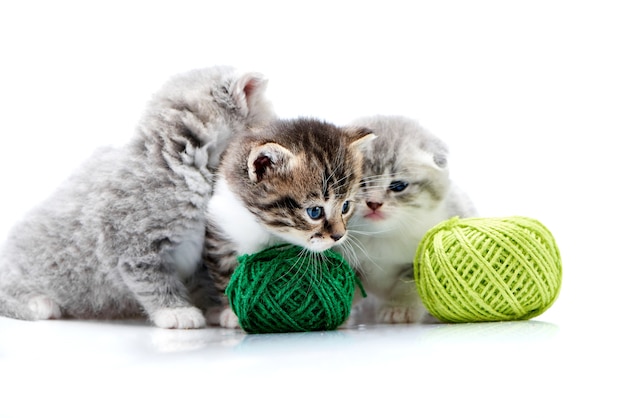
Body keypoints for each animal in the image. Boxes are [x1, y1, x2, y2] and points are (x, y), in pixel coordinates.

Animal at [0, 65, 276, 328]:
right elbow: (154, 281)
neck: (179, 165)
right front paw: (176, 311)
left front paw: (222, 310)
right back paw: (39, 303)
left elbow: (210, 281)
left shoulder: (203, 252)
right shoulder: (133, 245)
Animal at [204, 116, 376, 326]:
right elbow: (225, 272)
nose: (339, 236)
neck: (267, 230)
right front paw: (230, 311)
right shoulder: (220, 228)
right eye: (315, 212)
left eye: (345, 207)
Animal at [338, 114, 476, 324]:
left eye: (398, 186)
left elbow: (409, 287)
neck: (381, 238)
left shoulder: (420, 262)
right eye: (360, 183)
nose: (374, 203)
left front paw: (398, 309)